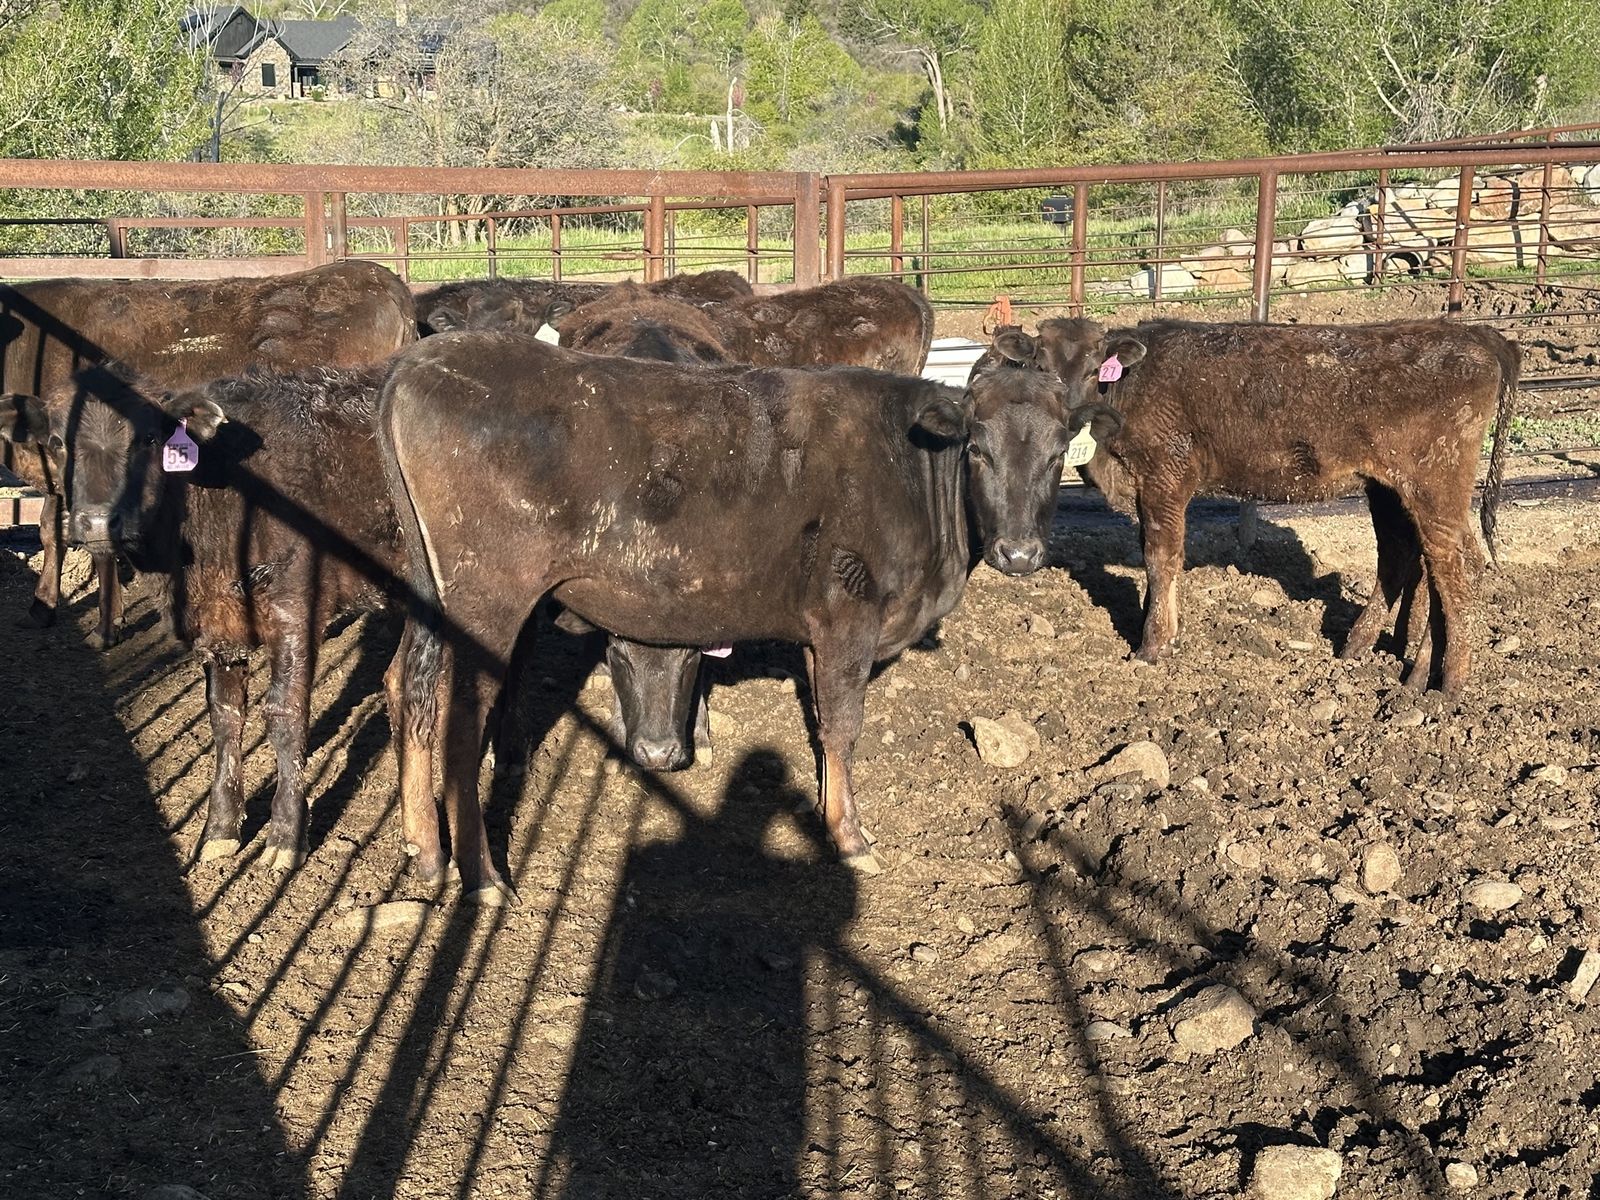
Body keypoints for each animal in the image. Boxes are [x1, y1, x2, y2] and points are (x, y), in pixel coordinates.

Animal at [14, 360, 412, 869]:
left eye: (148, 438)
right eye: (58, 441)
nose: (100, 521)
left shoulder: (296, 609)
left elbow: (285, 716)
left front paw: (286, 834)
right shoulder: (216, 628)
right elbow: (224, 719)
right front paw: (220, 829)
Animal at [375, 329, 1115, 901]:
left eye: (1057, 454)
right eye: (978, 450)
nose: (1019, 553)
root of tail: (421, 359)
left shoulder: (818, 632)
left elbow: (823, 731)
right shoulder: (848, 618)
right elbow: (842, 728)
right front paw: (851, 839)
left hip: (433, 589)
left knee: (408, 686)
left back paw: (425, 849)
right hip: (487, 599)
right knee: (458, 715)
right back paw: (482, 876)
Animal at [1026, 317, 1518, 694]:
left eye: (1095, 368)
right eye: (1040, 367)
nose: (1072, 417)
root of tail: (1472, 333)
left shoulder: (1165, 477)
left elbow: (1160, 557)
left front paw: (1153, 646)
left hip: (1435, 486)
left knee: (1454, 565)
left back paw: (1448, 685)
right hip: (1393, 490)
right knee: (1410, 558)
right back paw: (1380, 658)